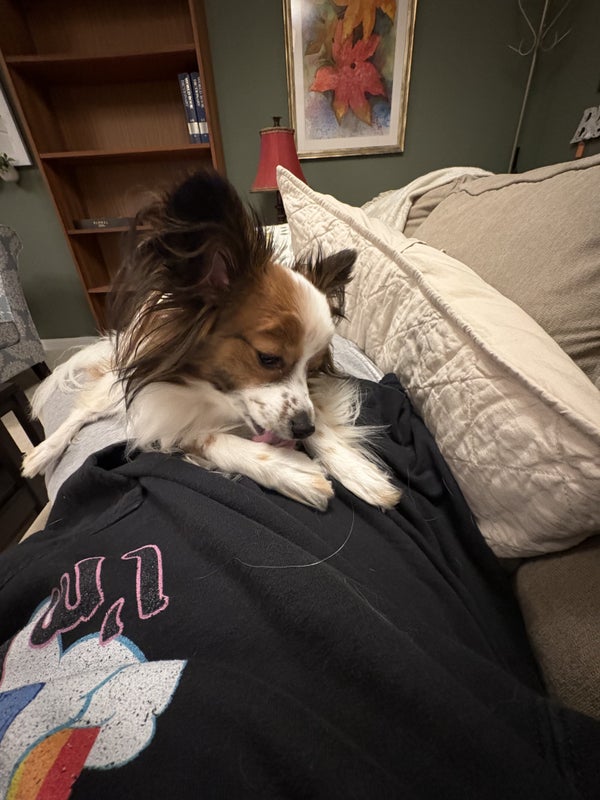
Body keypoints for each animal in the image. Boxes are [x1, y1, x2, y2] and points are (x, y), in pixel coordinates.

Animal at [22, 170, 401, 512]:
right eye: (268, 358)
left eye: (312, 369)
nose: (302, 430)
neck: (212, 397)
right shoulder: (164, 421)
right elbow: (210, 438)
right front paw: (287, 468)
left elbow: (321, 421)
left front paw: (358, 471)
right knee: (83, 411)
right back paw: (42, 453)